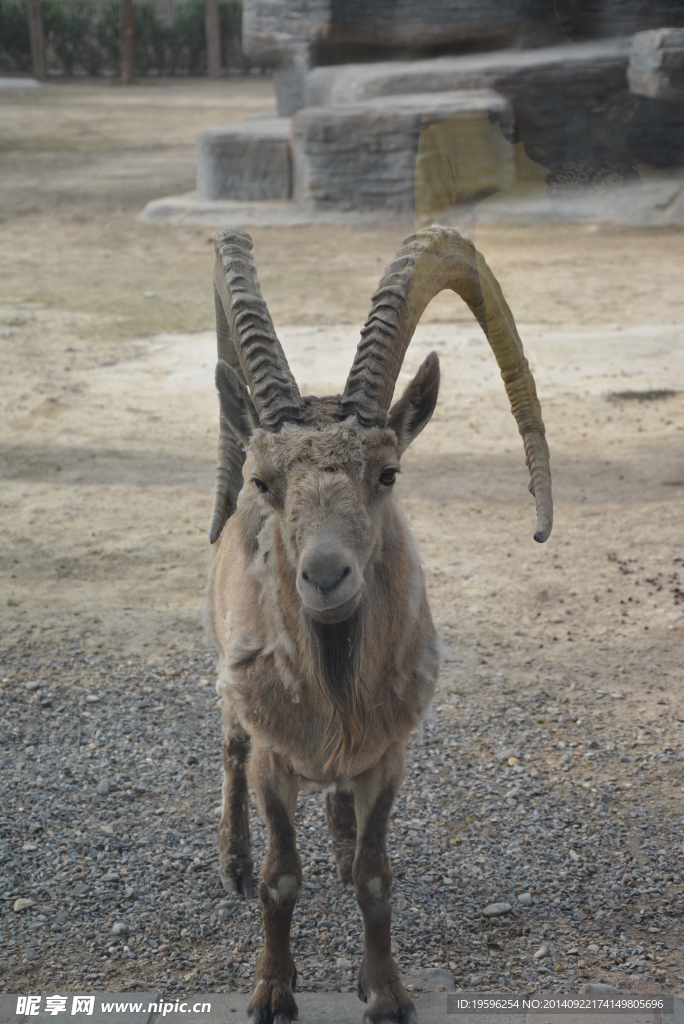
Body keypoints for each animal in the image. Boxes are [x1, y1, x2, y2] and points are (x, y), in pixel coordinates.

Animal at [204, 226, 548, 1024]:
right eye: (264, 481)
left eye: (388, 473)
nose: (327, 577)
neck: (334, 688)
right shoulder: (274, 759)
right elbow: (280, 877)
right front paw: (273, 990)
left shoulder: (390, 753)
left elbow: (374, 874)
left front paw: (385, 991)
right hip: (230, 679)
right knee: (230, 748)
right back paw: (232, 860)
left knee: (338, 805)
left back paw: (335, 835)